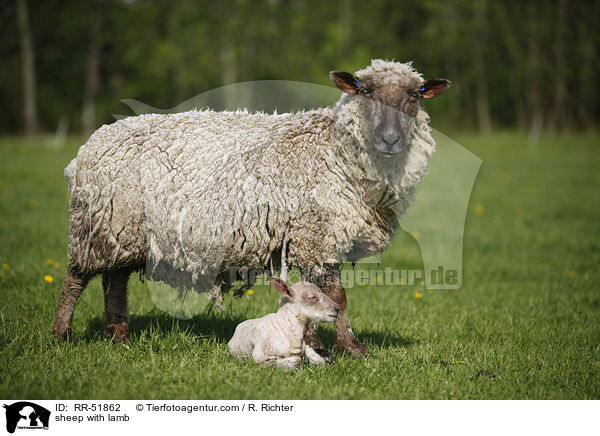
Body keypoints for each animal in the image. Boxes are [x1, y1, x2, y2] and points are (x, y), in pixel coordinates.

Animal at [51, 58, 448, 358]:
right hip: (98, 222)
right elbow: (329, 294)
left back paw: (119, 336)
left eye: (415, 96)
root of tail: (91, 143)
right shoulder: (312, 234)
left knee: (115, 281)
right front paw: (334, 345)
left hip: (123, 229)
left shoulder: (322, 236)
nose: (390, 139)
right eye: (364, 91)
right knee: (76, 277)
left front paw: (346, 346)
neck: (332, 149)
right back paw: (62, 334)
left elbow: (332, 295)